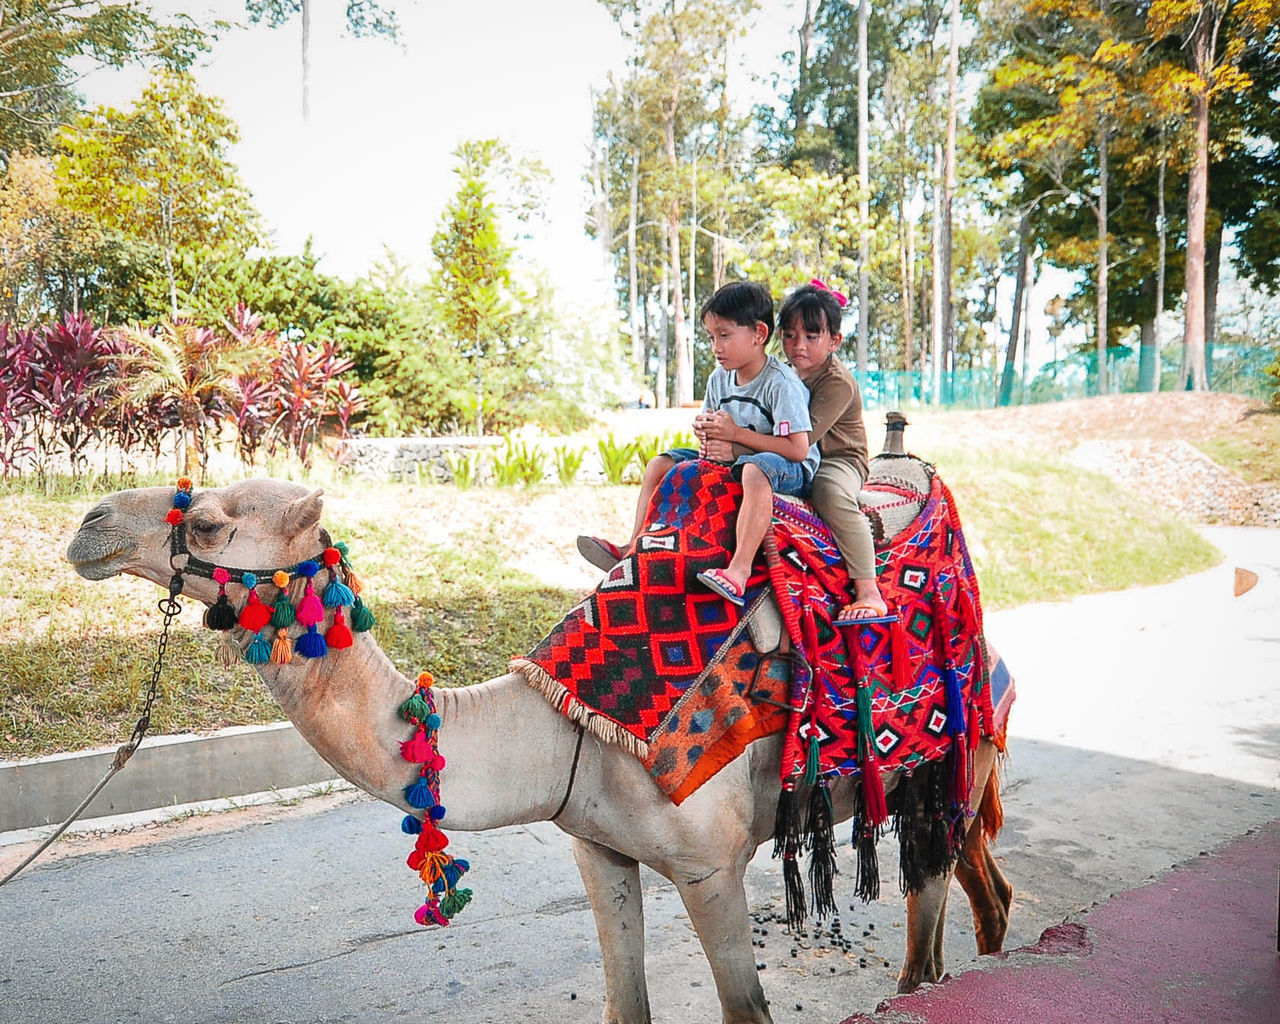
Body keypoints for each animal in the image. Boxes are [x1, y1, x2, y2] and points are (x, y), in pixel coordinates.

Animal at [67, 481, 1008, 1024]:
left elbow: (746, 1010)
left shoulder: (710, 866)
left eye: (211, 524)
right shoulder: (597, 847)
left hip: (946, 771)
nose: (88, 523)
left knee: (928, 945)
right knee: (984, 896)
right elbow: (624, 1005)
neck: (561, 732)